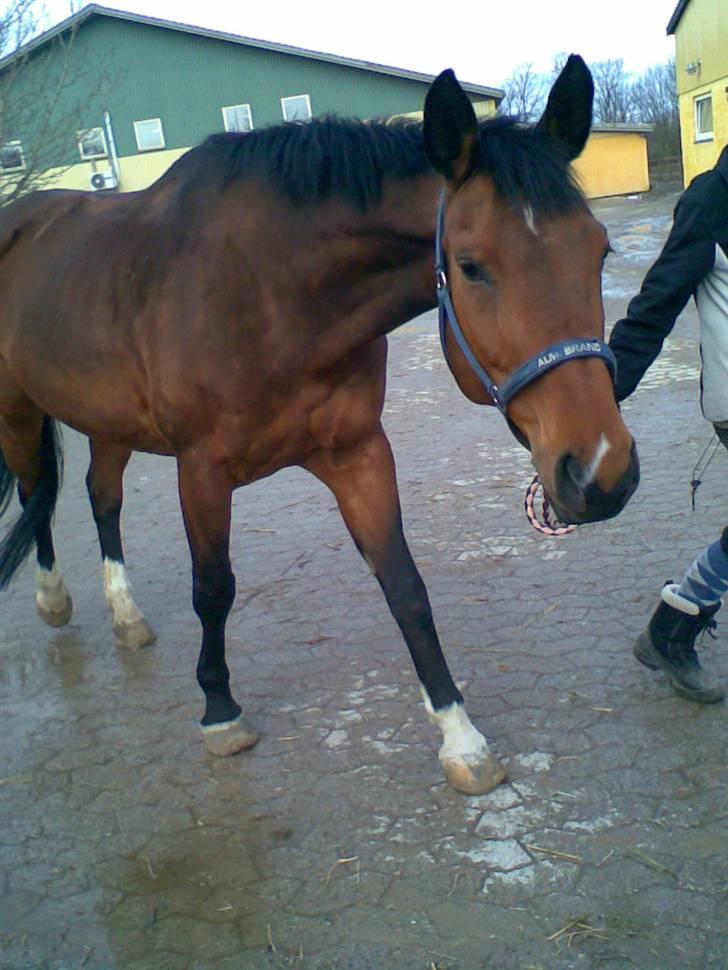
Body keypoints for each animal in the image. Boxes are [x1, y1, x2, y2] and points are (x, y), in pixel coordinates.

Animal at [0, 56, 636, 792]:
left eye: (599, 251)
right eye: (472, 266)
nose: (602, 470)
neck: (269, 287)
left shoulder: (358, 454)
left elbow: (405, 588)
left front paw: (462, 738)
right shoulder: (202, 470)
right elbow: (214, 589)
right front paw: (220, 710)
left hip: (106, 419)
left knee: (101, 498)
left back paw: (126, 616)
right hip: (17, 412)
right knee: (36, 497)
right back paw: (52, 598)